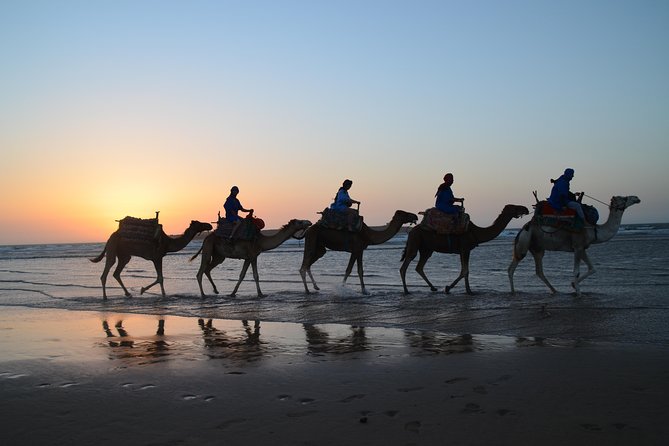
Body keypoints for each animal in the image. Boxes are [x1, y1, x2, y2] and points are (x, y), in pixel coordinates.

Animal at [400, 206, 528, 296]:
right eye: (515, 207)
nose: (525, 209)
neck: (477, 232)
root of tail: (410, 232)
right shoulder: (465, 249)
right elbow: (465, 271)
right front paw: (454, 289)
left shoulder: (463, 250)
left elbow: (465, 271)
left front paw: (464, 290)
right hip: (415, 242)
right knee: (405, 266)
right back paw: (406, 291)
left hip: (427, 249)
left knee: (419, 266)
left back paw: (433, 287)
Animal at [508, 195, 640, 296]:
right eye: (624, 198)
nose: (637, 198)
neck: (593, 230)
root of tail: (522, 229)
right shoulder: (577, 246)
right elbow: (576, 271)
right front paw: (579, 293)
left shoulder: (583, 248)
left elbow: (592, 268)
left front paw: (573, 285)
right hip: (524, 242)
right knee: (512, 267)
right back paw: (513, 292)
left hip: (537, 248)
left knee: (539, 271)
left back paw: (555, 291)